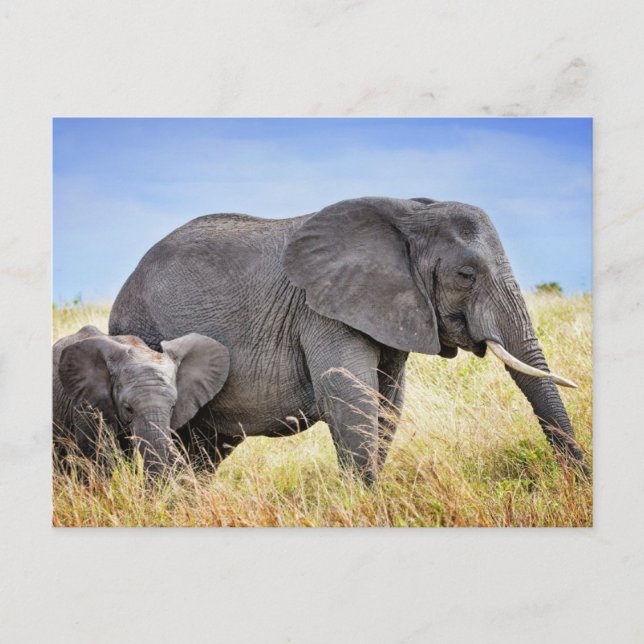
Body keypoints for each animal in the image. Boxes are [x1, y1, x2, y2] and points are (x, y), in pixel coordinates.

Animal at [108, 196, 584, 483]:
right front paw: (365, 503)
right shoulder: (321, 311)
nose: (576, 481)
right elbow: (348, 394)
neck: (408, 213)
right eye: (466, 275)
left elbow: (388, 403)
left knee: (204, 449)